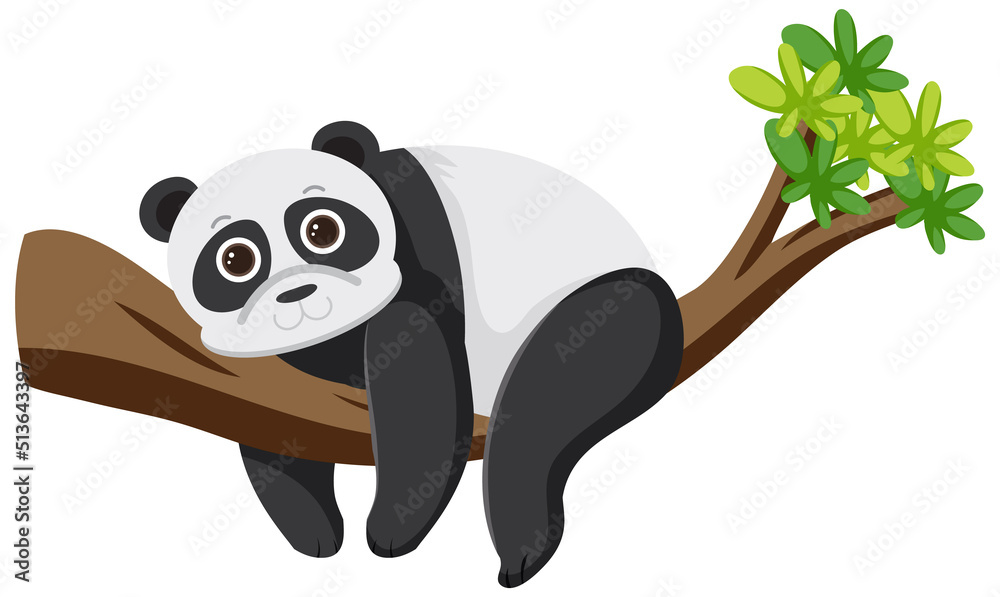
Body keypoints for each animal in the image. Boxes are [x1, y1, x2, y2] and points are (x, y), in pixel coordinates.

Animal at [139, 121, 684, 588]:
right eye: (235, 259)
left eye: (323, 230)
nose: (299, 296)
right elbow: (269, 414)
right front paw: (315, 530)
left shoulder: (419, 265)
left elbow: (415, 372)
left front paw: (392, 527)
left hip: (604, 304)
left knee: (545, 400)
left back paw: (519, 546)